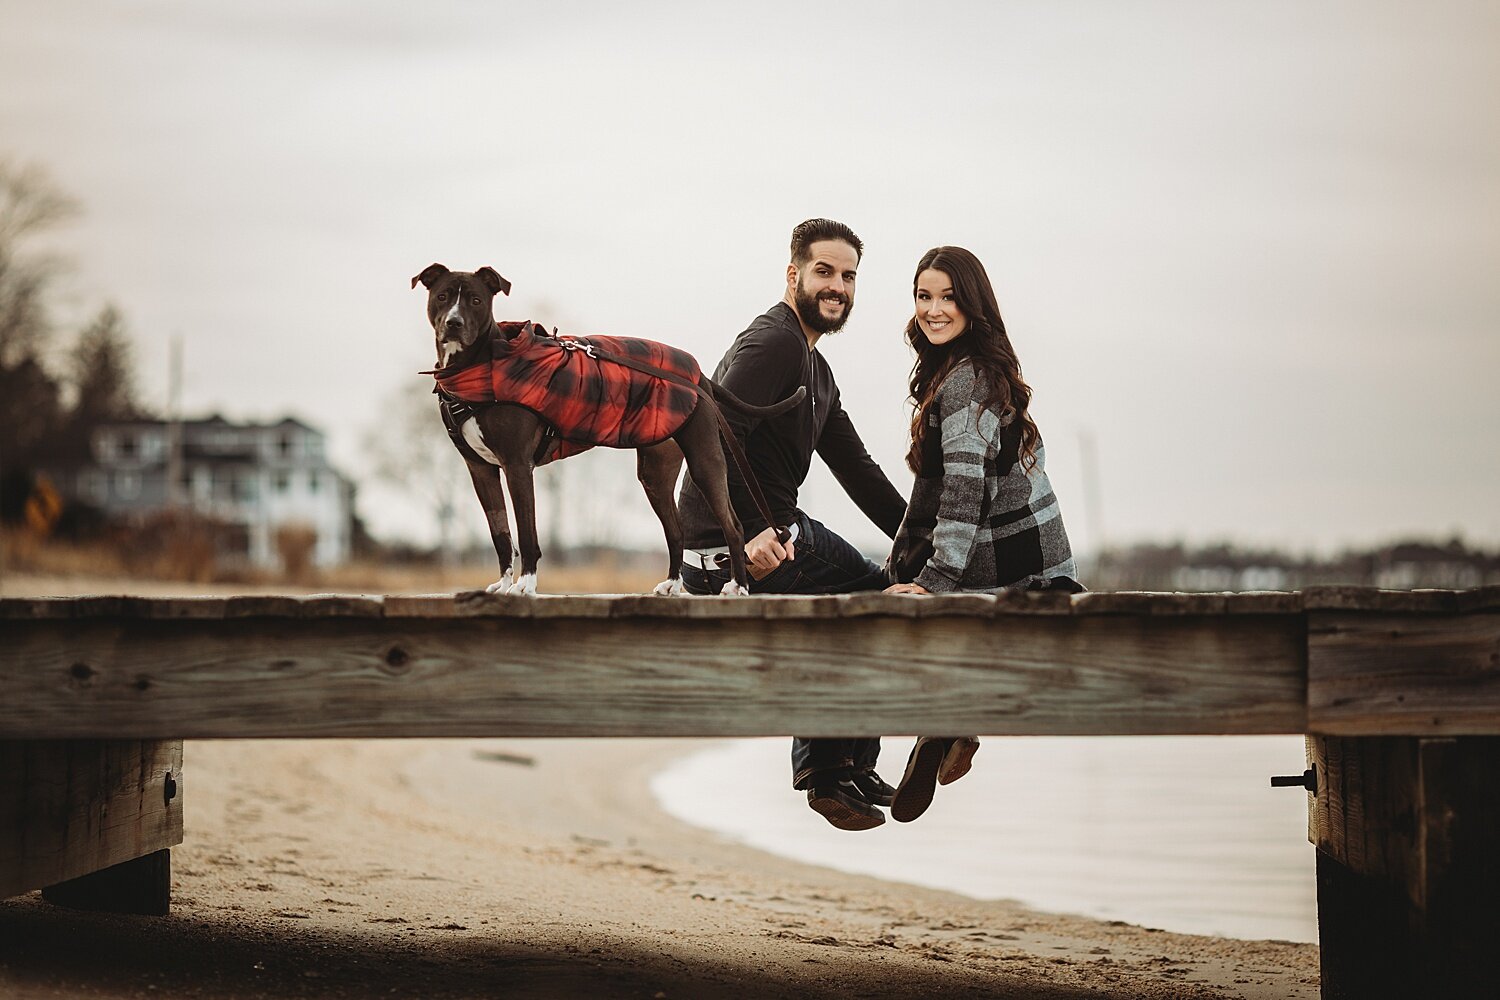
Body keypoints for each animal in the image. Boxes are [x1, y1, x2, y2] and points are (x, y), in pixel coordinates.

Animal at [411, 262, 810, 599]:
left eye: (476, 300)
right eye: (442, 296)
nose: (453, 323)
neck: (483, 364)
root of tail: (699, 376)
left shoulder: (517, 465)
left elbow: (526, 531)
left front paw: (525, 585)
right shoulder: (480, 470)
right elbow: (500, 534)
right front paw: (504, 582)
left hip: (706, 460)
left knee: (733, 525)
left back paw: (738, 587)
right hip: (655, 472)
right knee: (676, 529)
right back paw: (672, 584)